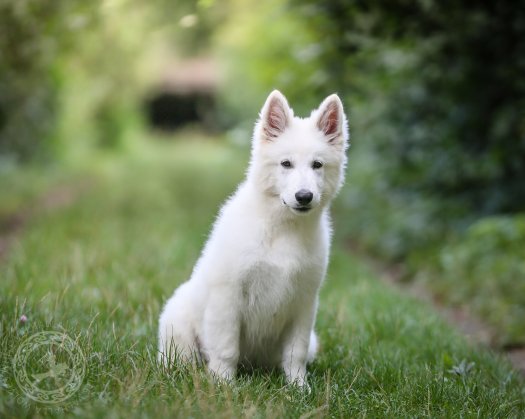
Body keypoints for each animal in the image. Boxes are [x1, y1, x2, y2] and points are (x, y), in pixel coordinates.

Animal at [159, 90, 348, 388]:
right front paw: (224, 384)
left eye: (317, 165)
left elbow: (295, 353)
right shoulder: (228, 295)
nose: (304, 197)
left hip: (311, 341)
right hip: (177, 323)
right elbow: (226, 347)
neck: (282, 229)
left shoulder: (304, 302)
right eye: (286, 164)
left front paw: (299, 387)